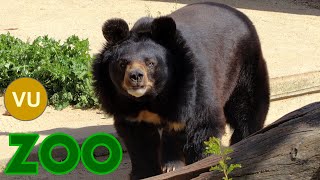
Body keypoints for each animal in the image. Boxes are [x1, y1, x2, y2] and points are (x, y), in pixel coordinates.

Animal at [91, 2, 268, 179]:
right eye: (122, 63)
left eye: (151, 63)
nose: (135, 76)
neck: (150, 99)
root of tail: (237, 12)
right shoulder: (127, 109)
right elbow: (140, 142)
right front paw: (145, 173)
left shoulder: (193, 91)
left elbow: (202, 128)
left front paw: (199, 165)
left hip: (244, 66)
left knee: (246, 107)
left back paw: (243, 141)